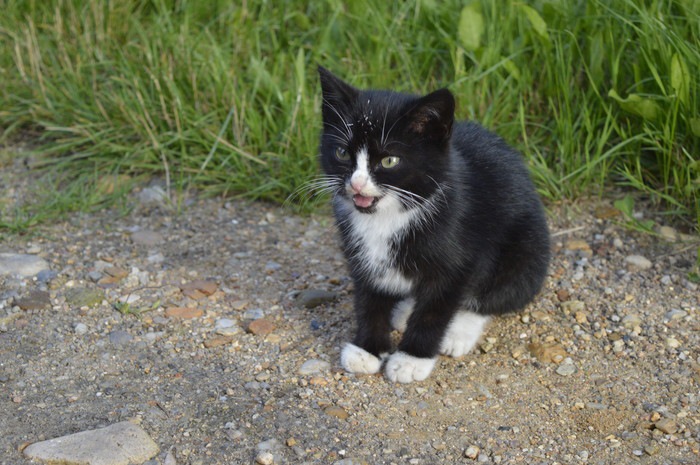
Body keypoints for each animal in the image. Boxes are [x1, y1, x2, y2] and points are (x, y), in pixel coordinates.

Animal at [318, 66, 552, 384]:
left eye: (389, 160)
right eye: (342, 153)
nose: (356, 183)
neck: (390, 215)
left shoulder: (460, 257)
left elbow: (436, 308)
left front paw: (411, 359)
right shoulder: (360, 251)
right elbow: (369, 296)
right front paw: (367, 349)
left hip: (528, 249)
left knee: (501, 292)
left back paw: (459, 330)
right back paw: (405, 310)